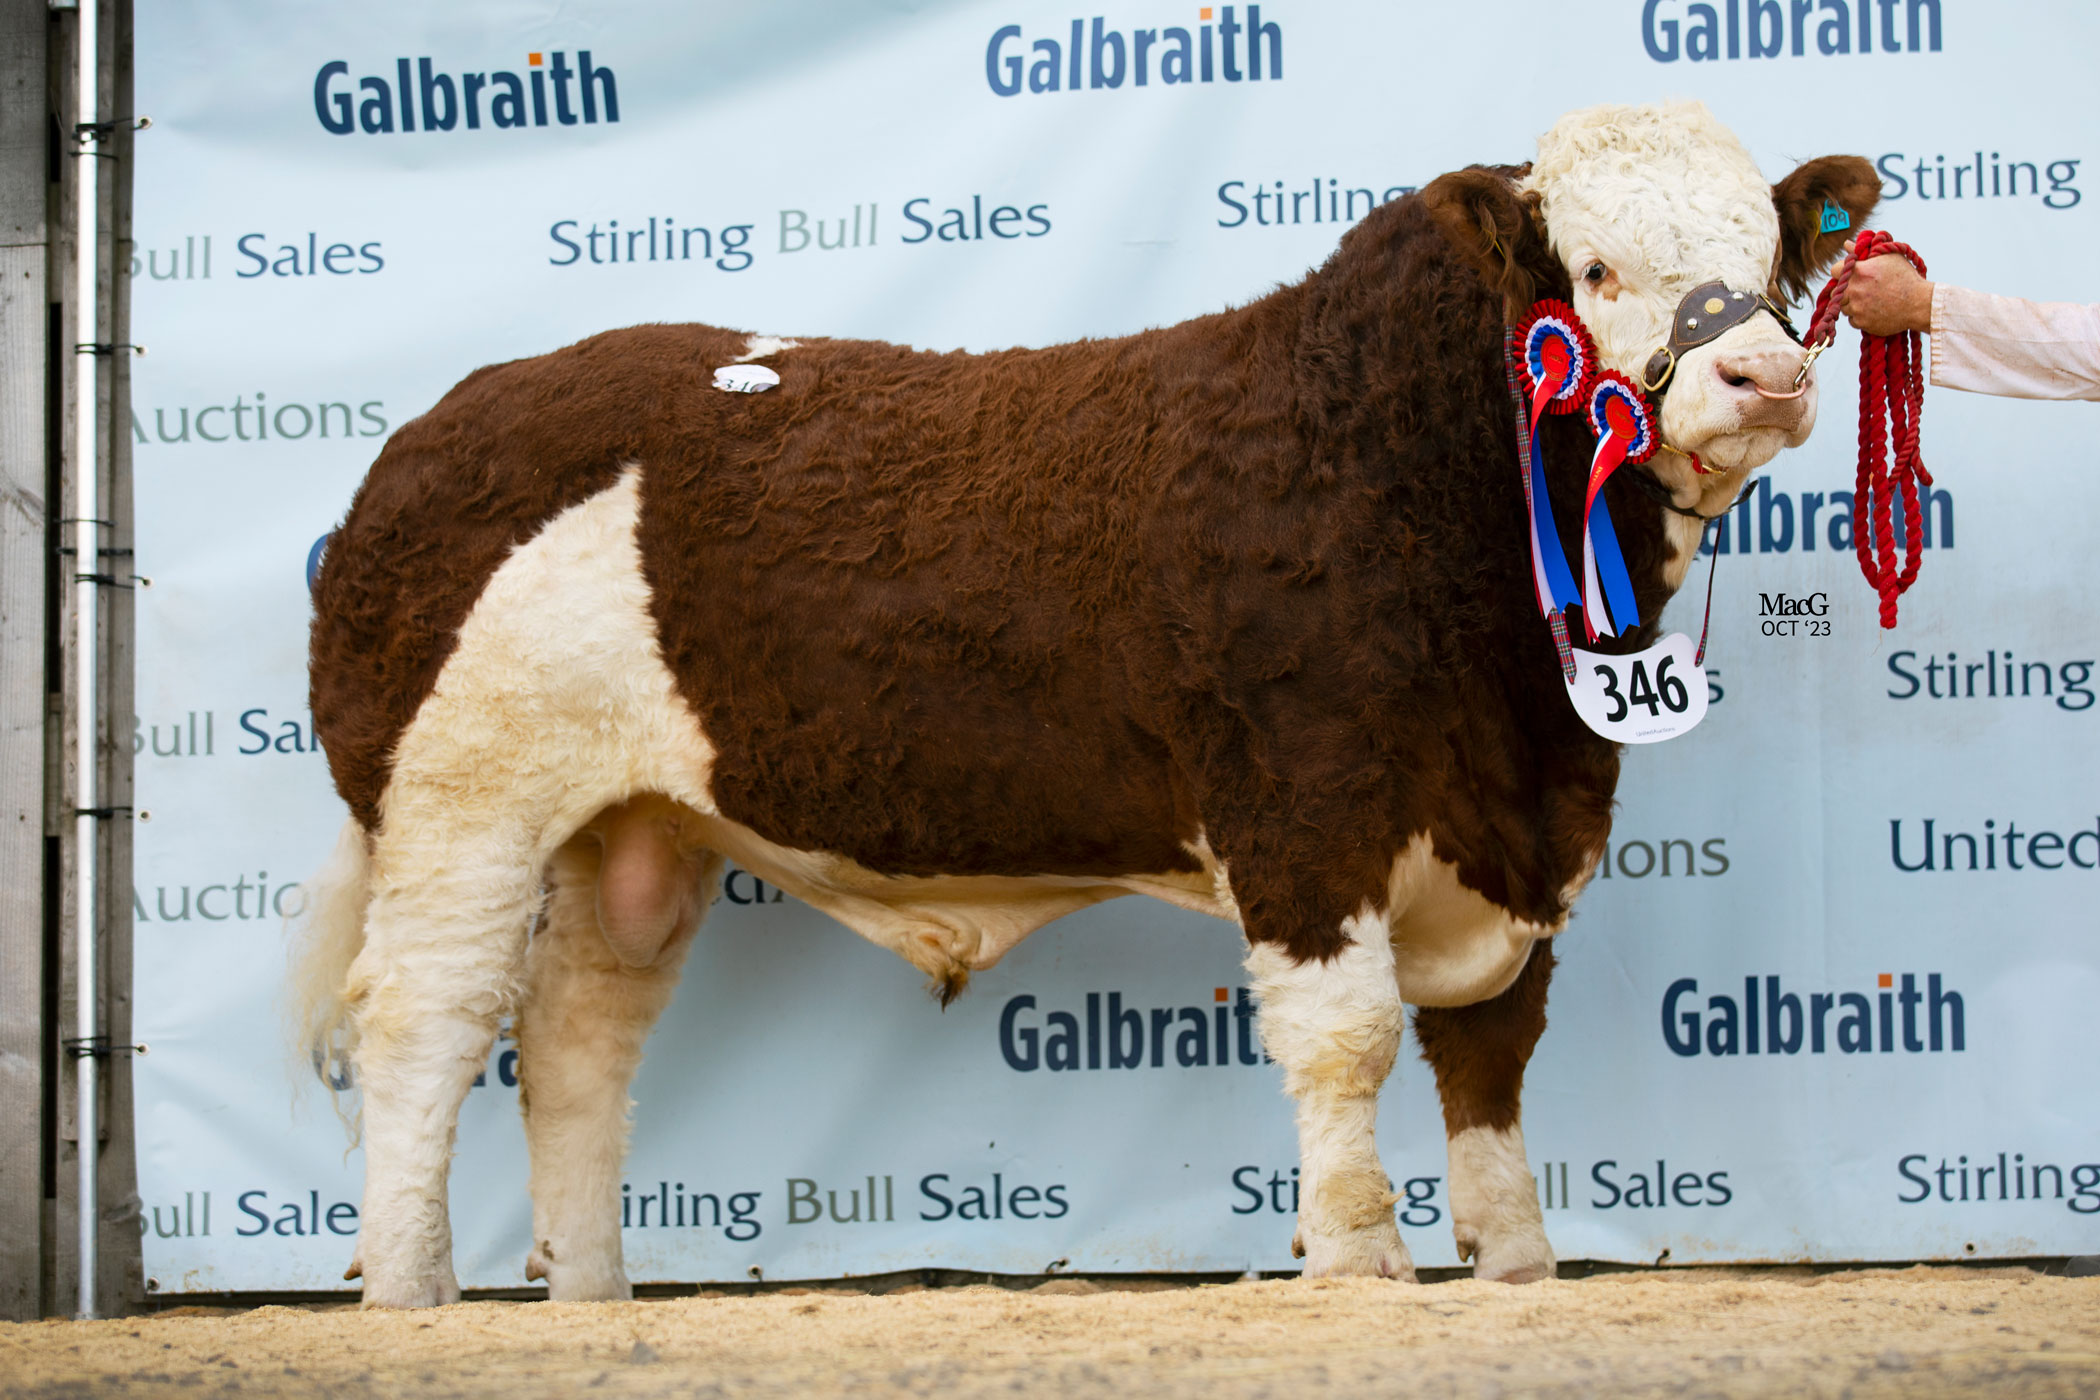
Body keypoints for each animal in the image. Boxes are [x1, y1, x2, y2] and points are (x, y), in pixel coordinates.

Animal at [293, 101, 1879, 1308]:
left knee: (576, 1040)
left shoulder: (1523, 834)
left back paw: (588, 1297)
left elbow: (1491, 1051)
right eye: (1597, 268)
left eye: (1770, 259)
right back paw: (412, 1295)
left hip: (633, 827)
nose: (1766, 373)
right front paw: (1359, 1265)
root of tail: (440, 427)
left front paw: (1516, 1268)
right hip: (459, 803)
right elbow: (1351, 1037)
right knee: (428, 1023)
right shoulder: (1304, 808)